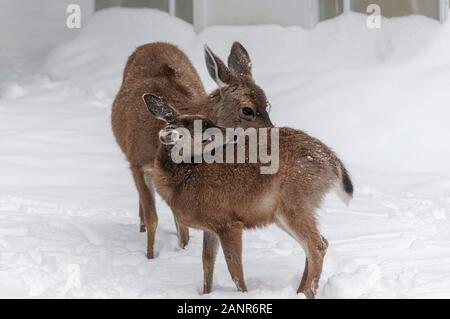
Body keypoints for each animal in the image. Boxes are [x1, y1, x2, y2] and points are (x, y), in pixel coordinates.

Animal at [111, 41, 274, 260]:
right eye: (247, 109)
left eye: (267, 105)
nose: (272, 132)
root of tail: (152, 44)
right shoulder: (136, 161)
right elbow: (153, 218)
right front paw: (150, 257)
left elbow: (182, 224)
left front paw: (182, 249)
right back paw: (141, 228)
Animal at [142, 93, 354, 300]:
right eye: (204, 136)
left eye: (210, 121)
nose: (233, 134)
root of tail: (331, 160)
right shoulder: (211, 226)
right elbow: (207, 263)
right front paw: (206, 293)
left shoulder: (228, 222)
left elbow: (234, 268)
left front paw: (244, 293)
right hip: (284, 213)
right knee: (318, 244)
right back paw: (299, 291)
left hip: (297, 201)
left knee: (317, 246)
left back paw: (306, 292)